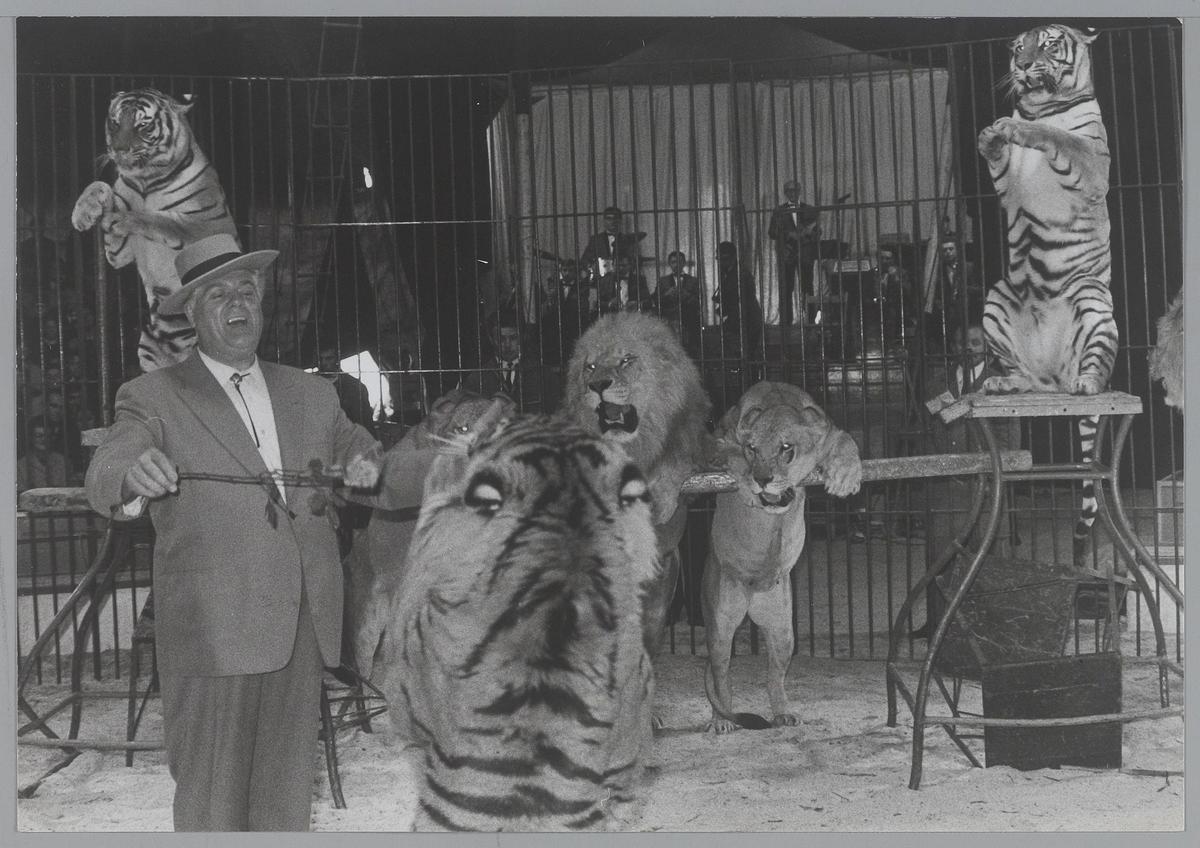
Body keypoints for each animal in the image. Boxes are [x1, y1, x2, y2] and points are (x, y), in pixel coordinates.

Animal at [71, 88, 239, 372]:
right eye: (115, 122)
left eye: (143, 125)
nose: (118, 150)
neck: (145, 180)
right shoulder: (120, 254)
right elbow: (100, 186)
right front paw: (85, 212)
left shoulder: (212, 225)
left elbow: (165, 219)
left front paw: (123, 218)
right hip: (149, 347)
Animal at [703, 381, 862, 733]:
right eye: (752, 449)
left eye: (786, 448)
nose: (763, 479)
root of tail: (753, 596)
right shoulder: (717, 440)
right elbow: (728, 452)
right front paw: (746, 482)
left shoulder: (828, 431)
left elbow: (846, 439)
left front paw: (846, 475)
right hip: (721, 626)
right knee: (721, 678)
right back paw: (722, 720)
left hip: (783, 632)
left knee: (774, 677)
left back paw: (783, 713)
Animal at [977, 24, 1118, 559]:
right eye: (1018, 47)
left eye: (1049, 43)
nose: (1021, 66)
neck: (1042, 105)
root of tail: (1056, 376)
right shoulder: (1007, 185)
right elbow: (1001, 162)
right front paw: (990, 136)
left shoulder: (1089, 161)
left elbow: (1060, 138)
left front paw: (1019, 130)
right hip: (997, 296)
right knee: (1023, 376)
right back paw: (1005, 382)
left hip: (1093, 296)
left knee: (1097, 368)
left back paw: (1089, 383)